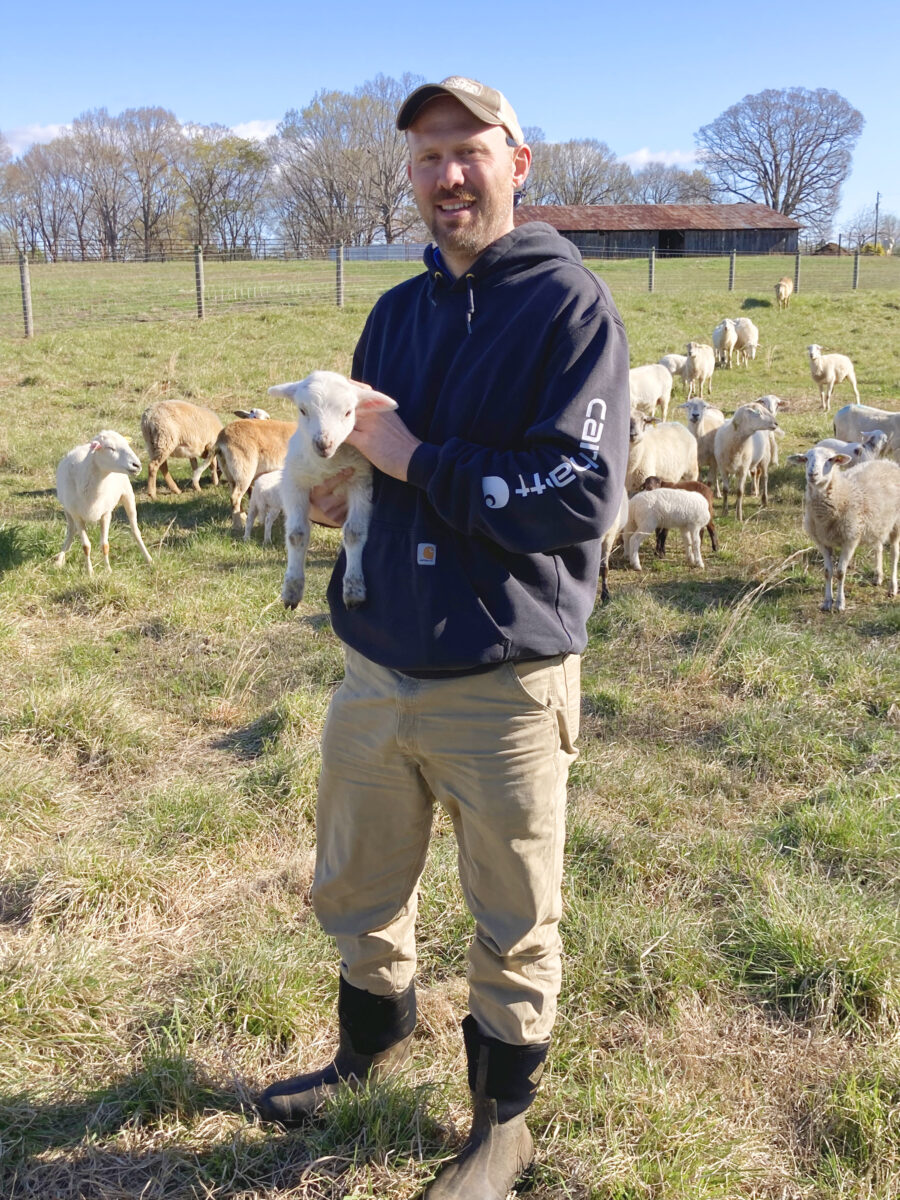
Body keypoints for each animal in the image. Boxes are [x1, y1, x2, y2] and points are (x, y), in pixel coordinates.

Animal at [55, 432, 153, 576]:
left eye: (127, 444)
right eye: (110, 448)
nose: (137, 465)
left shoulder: (106, 513)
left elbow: (105, 545)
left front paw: (108, 570)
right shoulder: (77, 516)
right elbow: (86, 546)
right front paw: (90, 572)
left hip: (128, 495)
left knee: (135, 531)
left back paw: (149, 559)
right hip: (67, 510)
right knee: (71, 531)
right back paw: (60, 558)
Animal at [271, 369, 398, 609]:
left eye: (348, 412)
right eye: (302, 410)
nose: (323, 444)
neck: (327, 466)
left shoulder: (361, 482)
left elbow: (354, 533)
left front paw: (354, 589)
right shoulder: (294, 482)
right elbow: (296, 535)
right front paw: (292, 589)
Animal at [787, 451, 900, 619]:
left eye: (830, 459)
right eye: (806, 458)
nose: (812, 474)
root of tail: (888, 462)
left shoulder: (850, 539)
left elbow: (840, 572)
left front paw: (840, 603)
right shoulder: (822, 541)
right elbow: (827, 572)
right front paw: (827, 602)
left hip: (896, 524)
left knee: (894, 554)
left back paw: (892, 588)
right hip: (877, 523)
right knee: (878, 547)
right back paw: (877, 577)